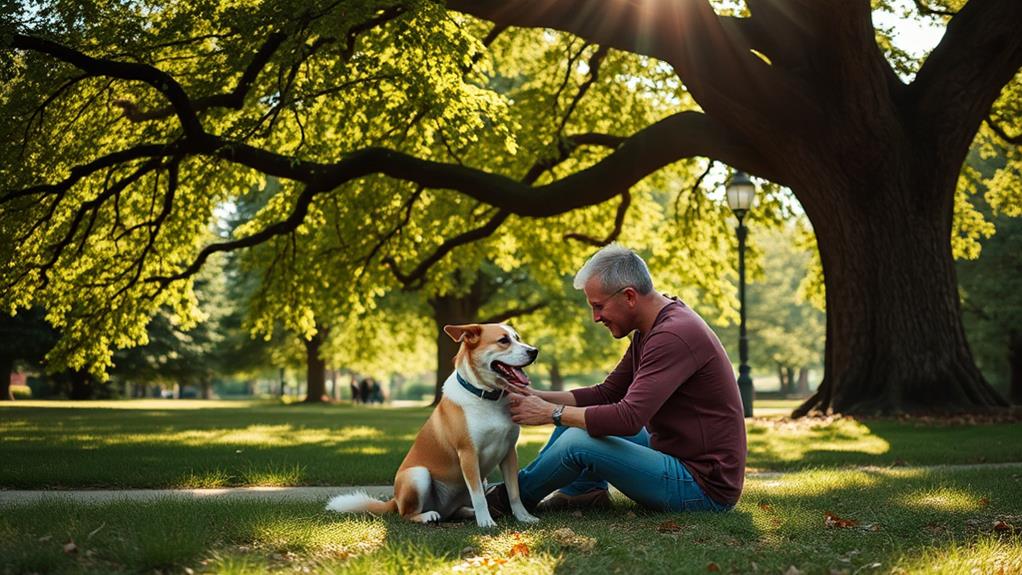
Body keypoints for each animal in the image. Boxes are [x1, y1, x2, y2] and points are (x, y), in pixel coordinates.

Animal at [327, 322, 539, 526]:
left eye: (518, 338)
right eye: (503, 340)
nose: (534, 351)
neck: (486, 397)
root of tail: (395, 501)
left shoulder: (509, 452)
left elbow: (514, 492)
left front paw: (523, 517)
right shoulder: (468, 454)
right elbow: (479, 496)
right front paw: (486, 522)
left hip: (481, 481)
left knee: (455, 512)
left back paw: (469, 513)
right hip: (418, 475)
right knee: (407, 514)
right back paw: (427, 516)